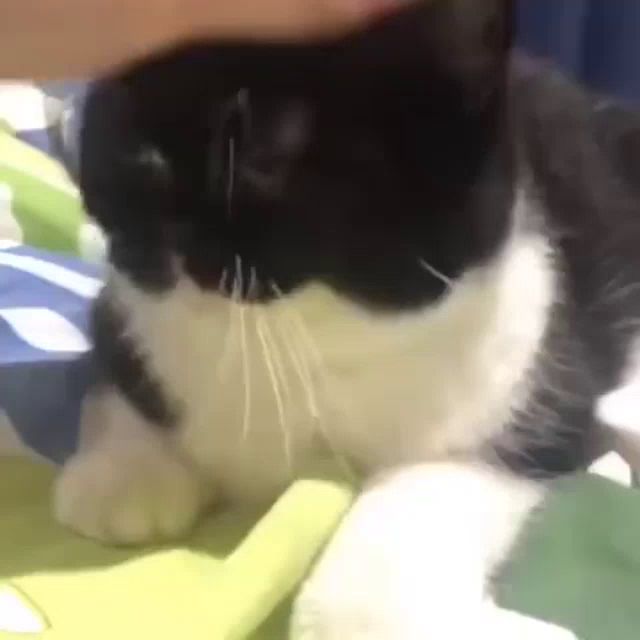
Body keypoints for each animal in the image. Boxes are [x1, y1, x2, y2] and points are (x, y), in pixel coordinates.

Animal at [54, 0, 640, 637]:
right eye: (130, 117)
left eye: (266, 148)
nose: (145, 170)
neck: (303, 335)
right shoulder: (121, 309)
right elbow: (120, 366)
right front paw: (124, 474)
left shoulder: (533, 386)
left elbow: (410, 505)